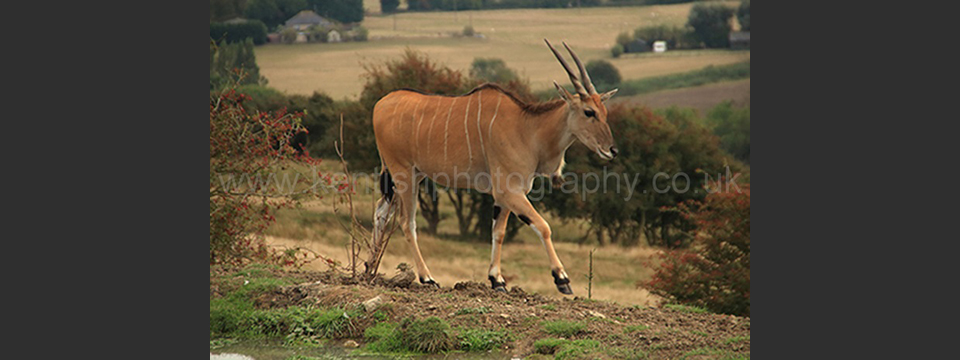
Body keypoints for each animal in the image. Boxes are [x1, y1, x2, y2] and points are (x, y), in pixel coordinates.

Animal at [372, 39, 620, 294]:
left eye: (604, 112)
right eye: (589, 112)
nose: (612, 150)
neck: (527, 128)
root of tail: (380, 104)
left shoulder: (504, 196)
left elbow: (498, 233)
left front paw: (497, 280)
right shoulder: (511, 191)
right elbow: (543, 226)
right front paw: (562, 279)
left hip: (409, 176)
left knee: (381, 211)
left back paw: (369, 269)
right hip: (404, 175)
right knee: (406, 222)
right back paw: (427, 277)